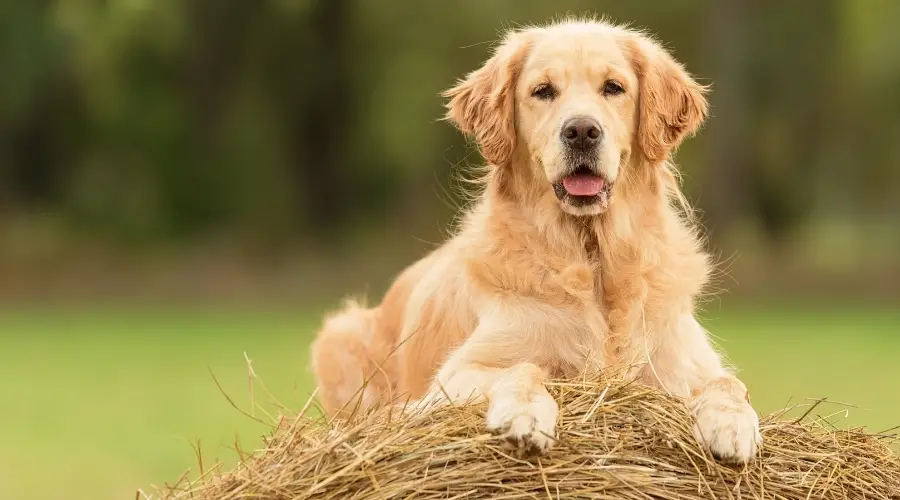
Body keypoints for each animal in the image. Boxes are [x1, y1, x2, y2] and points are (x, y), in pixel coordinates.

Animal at [312, 19, 764, 464]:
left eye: (613, 87)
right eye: (542, 90)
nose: (581, 131)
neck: (592, 257)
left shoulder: (684, 364)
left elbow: (729, 385)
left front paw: (733, 426)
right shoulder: (456, 374)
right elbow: (524, 369)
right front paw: (525, 415)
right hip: (340, 334)